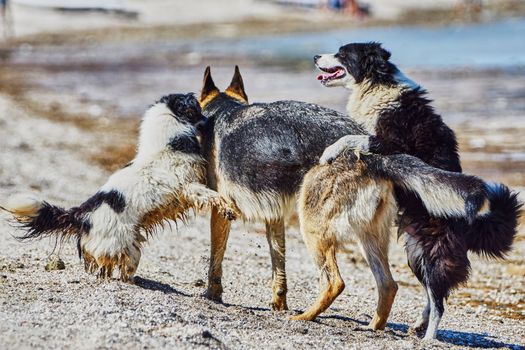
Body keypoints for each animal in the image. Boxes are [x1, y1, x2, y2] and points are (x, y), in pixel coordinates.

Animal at [1, 94, 237, 284]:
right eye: (195, 110)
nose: (210, 120)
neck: (167, 143)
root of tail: (82, 214)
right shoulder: (190, 187)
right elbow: (213, 195)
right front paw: (228, 209)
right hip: (124, 246)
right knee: (121, 266)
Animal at [312, 43, 520, 340]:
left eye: (342, 53)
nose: (315, 57)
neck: (377, 83)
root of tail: (470, 228)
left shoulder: (391, 142)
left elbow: (353, 137)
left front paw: (330, 151)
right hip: (416, 253)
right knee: (434, 296)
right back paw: (419, 325)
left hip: (433, 255)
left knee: (439, 302)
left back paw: (429, 338)